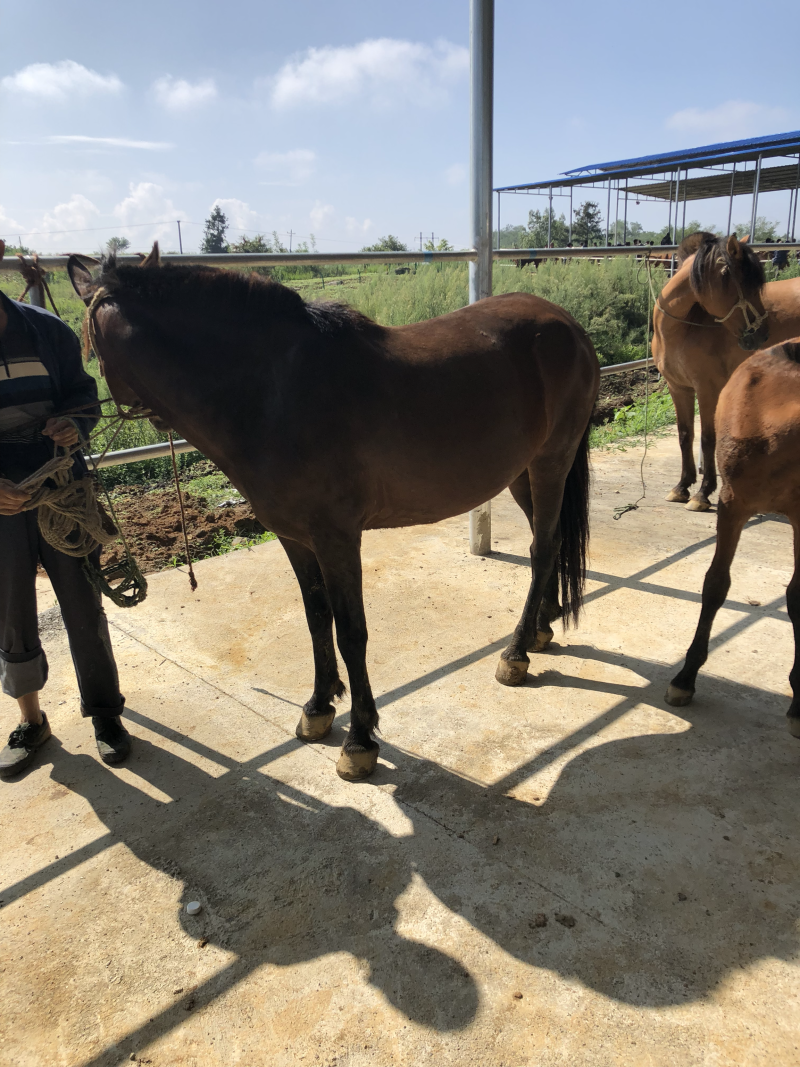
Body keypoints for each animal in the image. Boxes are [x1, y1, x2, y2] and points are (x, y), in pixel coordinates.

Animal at [68, 245, 599, 781]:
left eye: (86, 347)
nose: (69, 428)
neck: (272, 394)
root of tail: (566, 323)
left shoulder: (337, 538)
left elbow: (351, 632)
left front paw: (360, 740)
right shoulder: (295, 538)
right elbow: (317, 618)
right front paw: (319, 708)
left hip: (551, 460)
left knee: (543, 546)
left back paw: (515, 654)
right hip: (520, 472)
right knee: (548, 540)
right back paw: (540, 627)